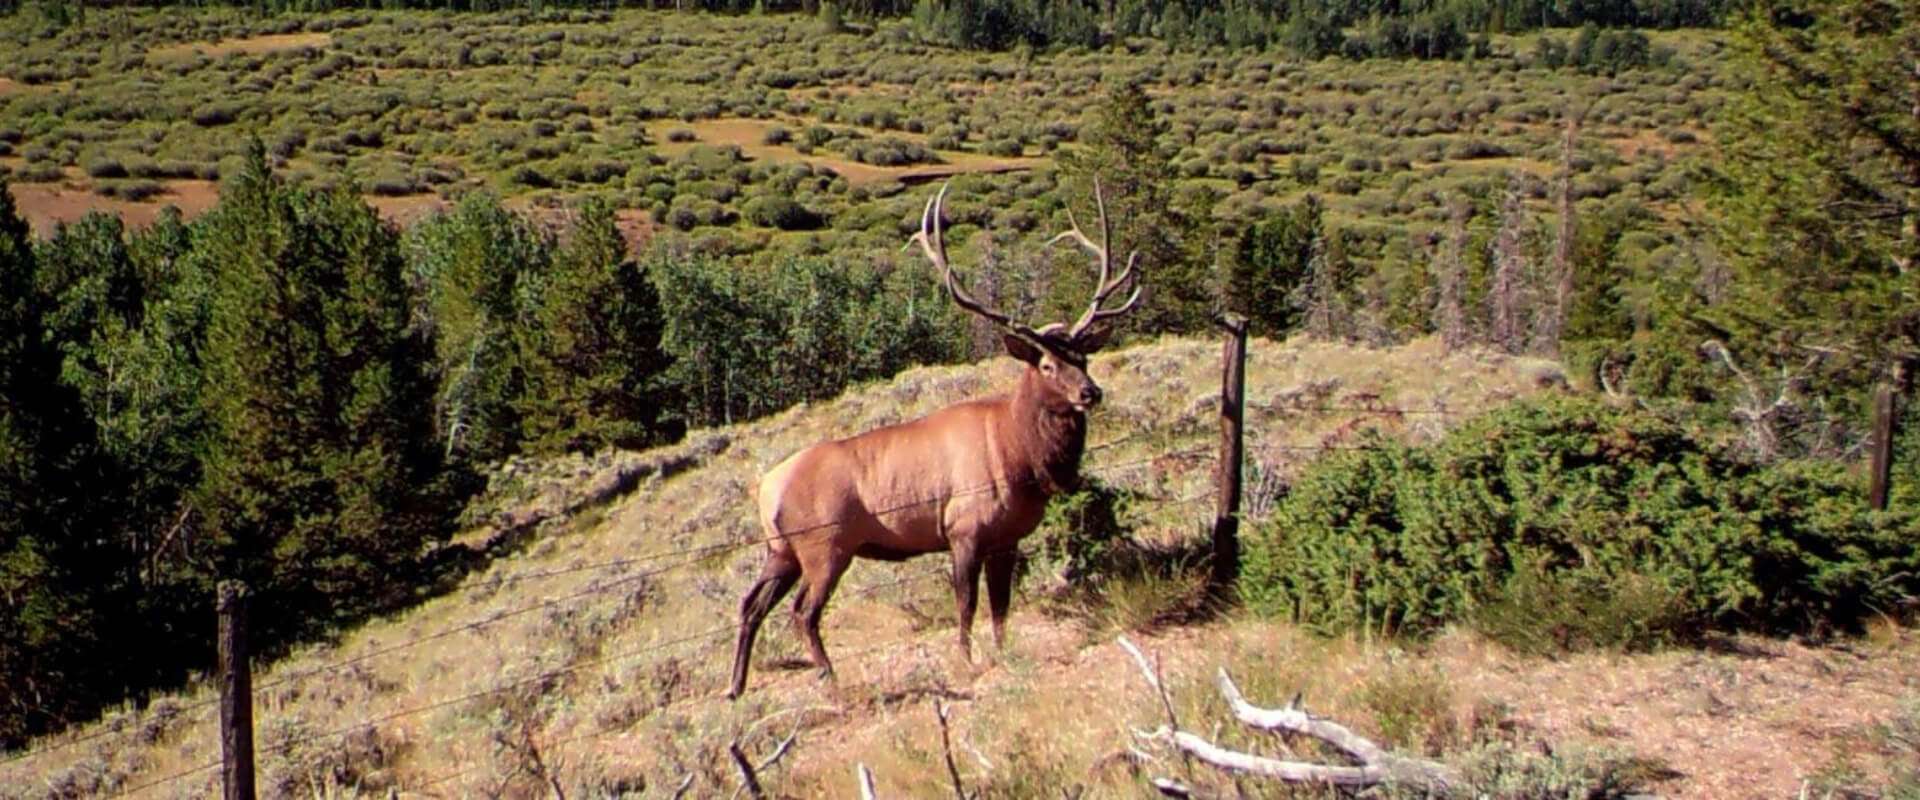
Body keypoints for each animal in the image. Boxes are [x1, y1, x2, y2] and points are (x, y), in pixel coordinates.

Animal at [728, 181, 1142, 699]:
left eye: (1083, 359)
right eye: (1047, 365)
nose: (1090, 392)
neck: (1022, 460)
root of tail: (765, 489)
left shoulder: (1007, 537)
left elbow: (1002, 605)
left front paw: (1005, 654)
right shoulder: (963, 528)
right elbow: (966, 604)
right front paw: (966, 660)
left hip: (781, 550)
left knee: (750, 604)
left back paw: (736, 687)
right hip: (825, 546)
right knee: (803, 611)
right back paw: (830, 677)